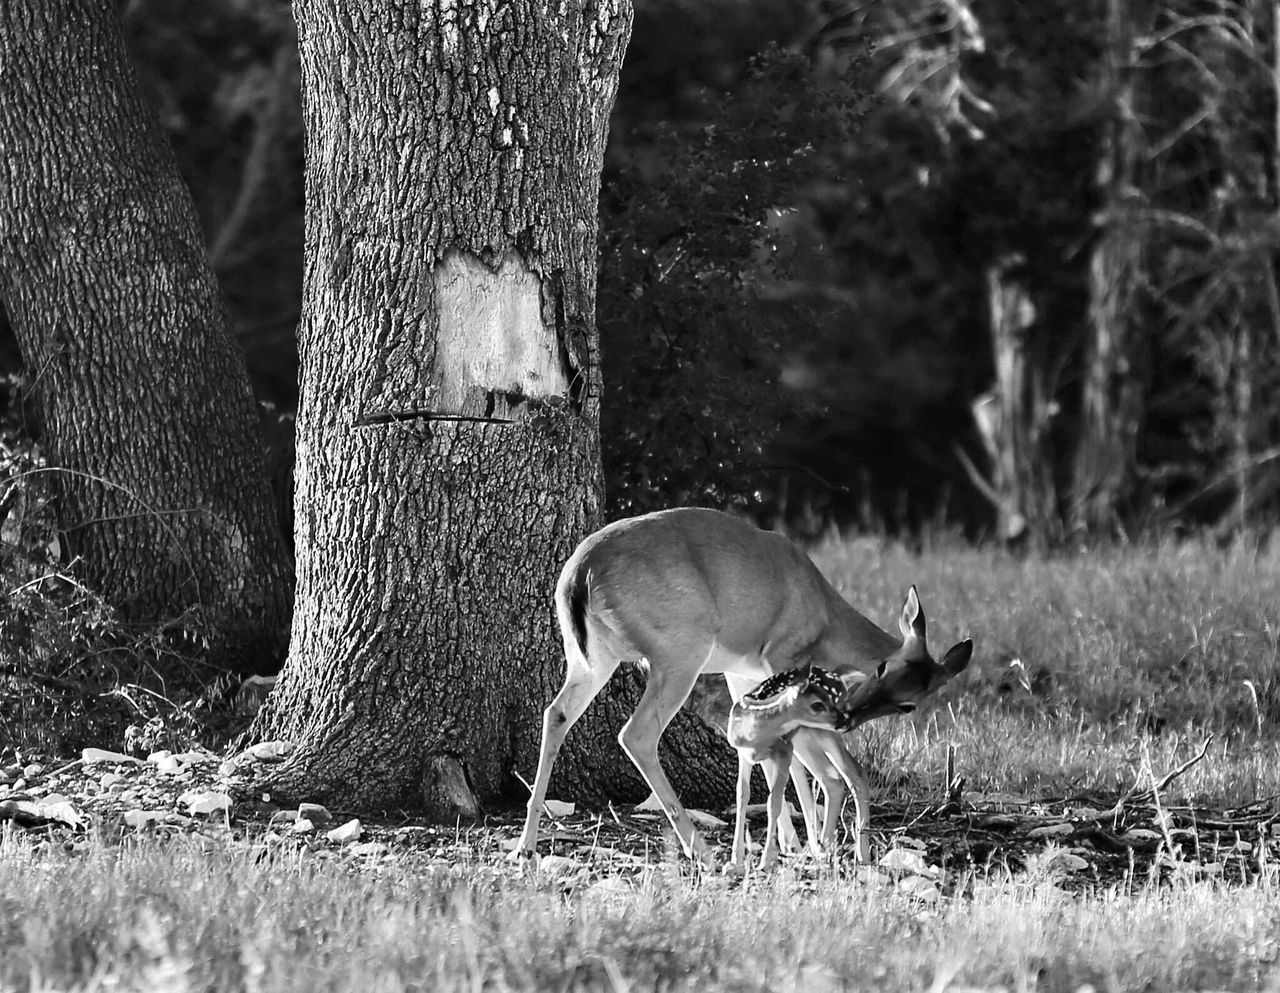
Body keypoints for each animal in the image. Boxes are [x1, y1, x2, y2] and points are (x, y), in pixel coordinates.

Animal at [506, 509, 967, 865]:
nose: (850, 719)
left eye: (910, 705)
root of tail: (578, 573)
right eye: (884, 666)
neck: (823, 615)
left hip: (592, 657)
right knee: (636, 734)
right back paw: (700, 850)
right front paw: (809, 844)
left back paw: (526, 843)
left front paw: (792, 842)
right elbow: (792, 743)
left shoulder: (741, 670)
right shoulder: (783, 656)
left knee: (556, 713)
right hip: (680, 650)